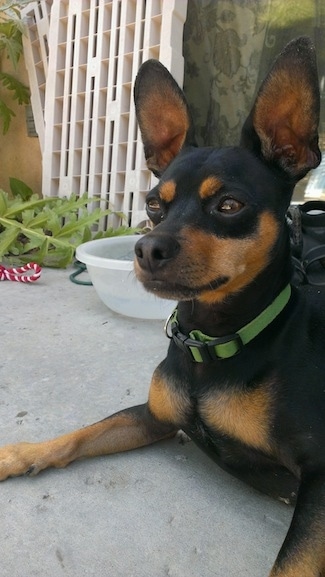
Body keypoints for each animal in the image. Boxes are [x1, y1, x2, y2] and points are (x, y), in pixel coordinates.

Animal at [0, 37, 324, 576]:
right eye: (154, 203)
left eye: (229, 206)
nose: (147, 249)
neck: (215, 339)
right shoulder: (154, 416)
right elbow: (82, 434)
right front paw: (22, 455)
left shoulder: (320, 480)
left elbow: (292, 564)